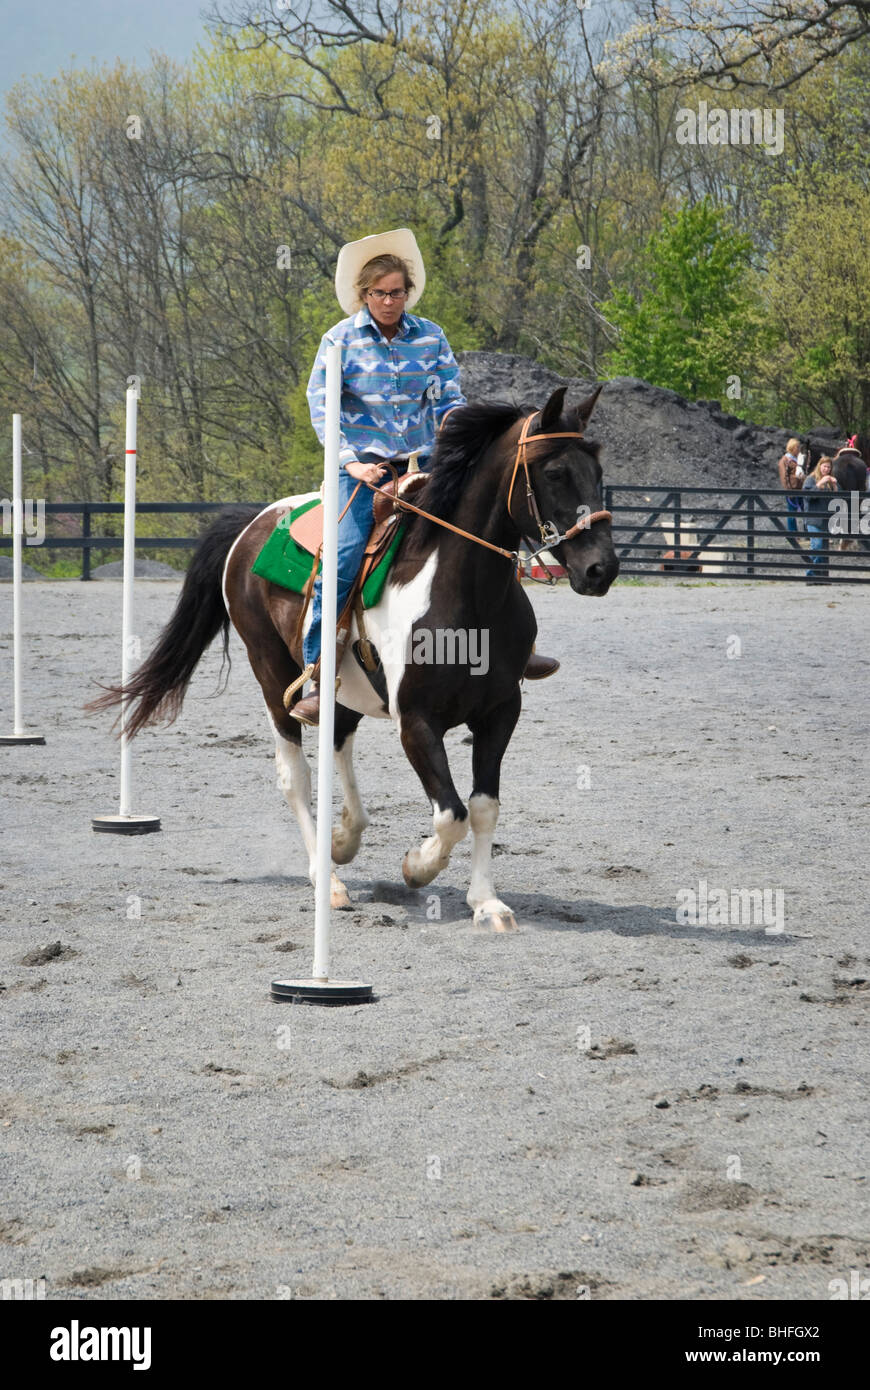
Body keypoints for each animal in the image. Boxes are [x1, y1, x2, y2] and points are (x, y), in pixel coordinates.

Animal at [88, 385, 618, 932]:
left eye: (598, 472)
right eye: (554, 473)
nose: (602, 569)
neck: (463, 594)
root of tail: (253, 523)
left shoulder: (500, 713)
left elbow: (483, 807)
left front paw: (487, 903)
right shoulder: (417, 721)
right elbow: (450, 814)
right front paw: (417, 866)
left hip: (340, 687)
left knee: (338, 740)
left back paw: (344, 838)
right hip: (271, 673)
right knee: (296, 776)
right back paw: (329, 882)